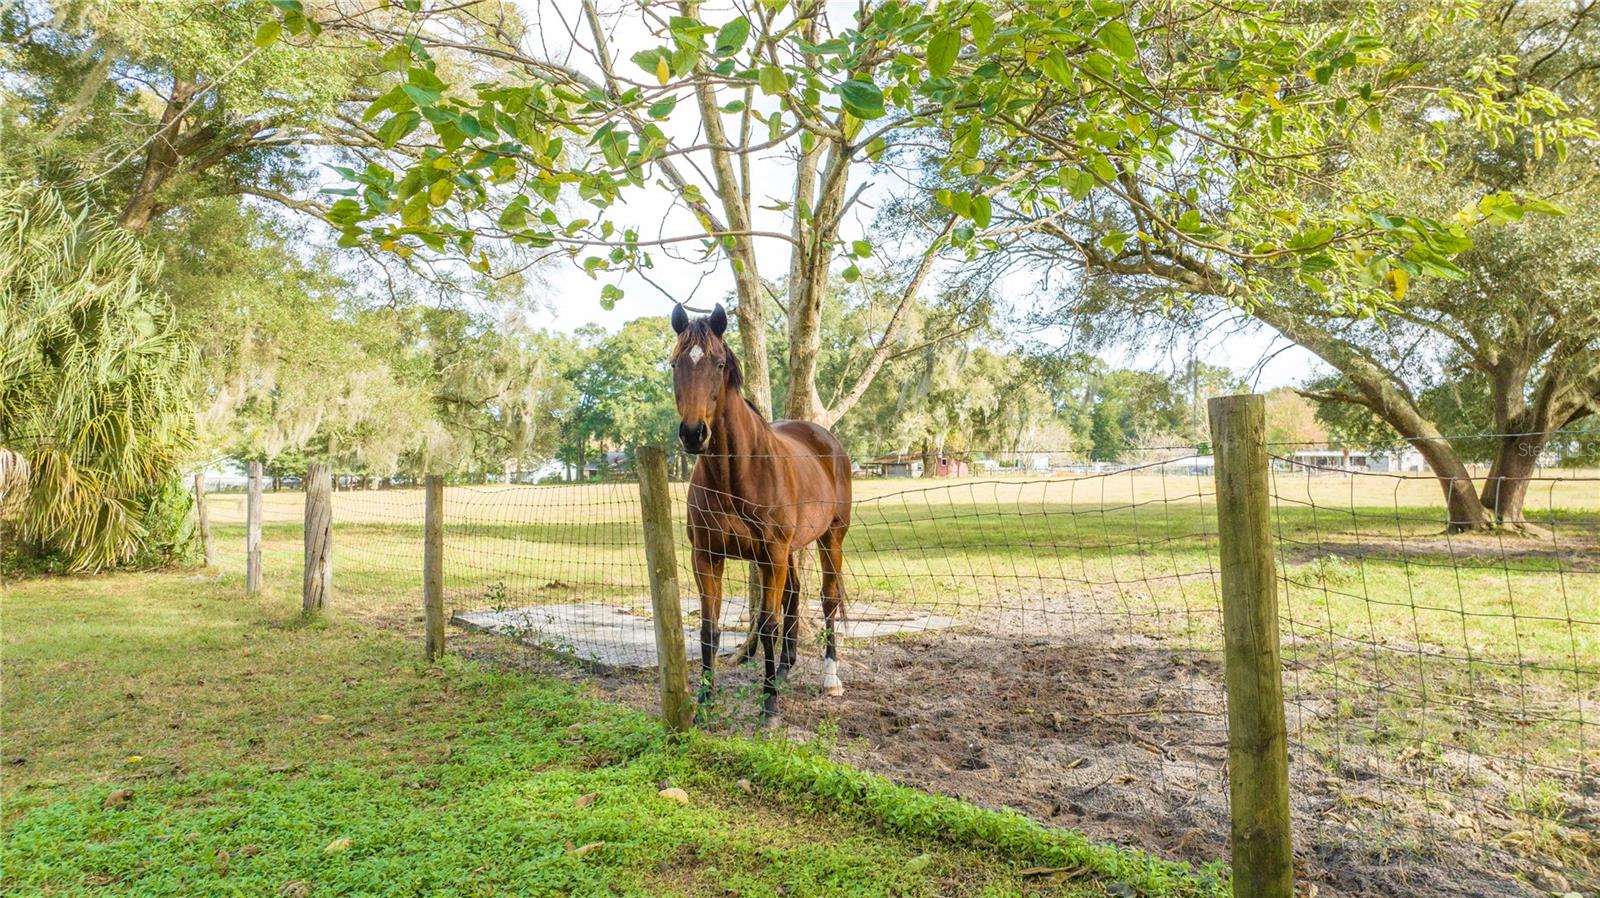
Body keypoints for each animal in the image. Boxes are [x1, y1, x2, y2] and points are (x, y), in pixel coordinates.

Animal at [669, 302, 852, 723]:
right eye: (674, 363)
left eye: (719, 363)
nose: (693, 434)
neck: (735, 473)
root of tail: (827, 441)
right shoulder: (707, 557)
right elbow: (709, 629)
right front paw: (704, 702)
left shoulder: (772, 554)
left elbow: (767, 625)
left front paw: (769, 705)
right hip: (792, 552)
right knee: (795, 595)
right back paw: (784, 668)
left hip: (830, 538)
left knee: (828, 599)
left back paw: (830, 678)